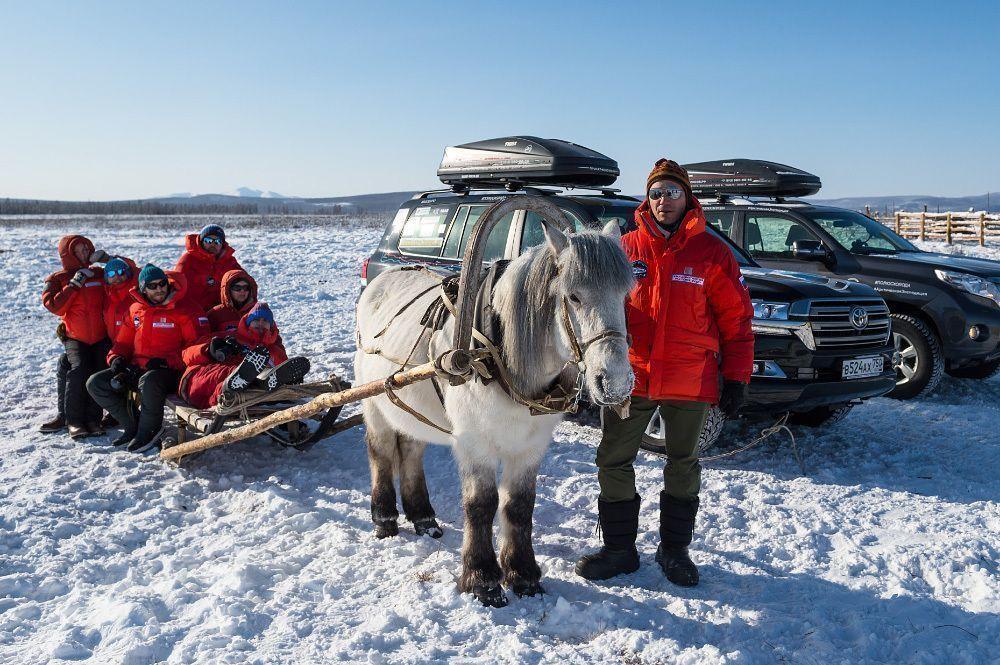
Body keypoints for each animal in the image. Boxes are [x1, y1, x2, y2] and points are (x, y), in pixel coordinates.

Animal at [354, 219, 632, 608]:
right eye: (574, 296)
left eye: (625, 295)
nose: (617, 382)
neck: (498, 358)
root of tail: (386, 277)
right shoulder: (475, 444)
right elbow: (482, 505)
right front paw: (482, 579)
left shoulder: (531, 446)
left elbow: (519, 506)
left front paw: (523, 575)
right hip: (374, 402)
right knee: (380, 451)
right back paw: (384, 518)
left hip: (412, 408)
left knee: (410, 450)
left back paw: (423, 517)